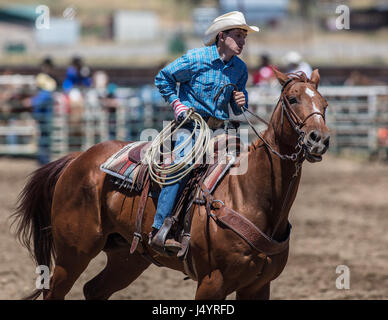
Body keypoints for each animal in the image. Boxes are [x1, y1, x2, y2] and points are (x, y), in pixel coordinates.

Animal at [12, 68, 330, 300]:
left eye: (325, 104)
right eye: (292, 99)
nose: (319, 139)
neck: (249, 194)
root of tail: (77, 158)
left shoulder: (258, 286)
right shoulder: (212, 282)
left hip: (127, 257)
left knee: (94, 290)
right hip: (73, 253)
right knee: (55, 292)